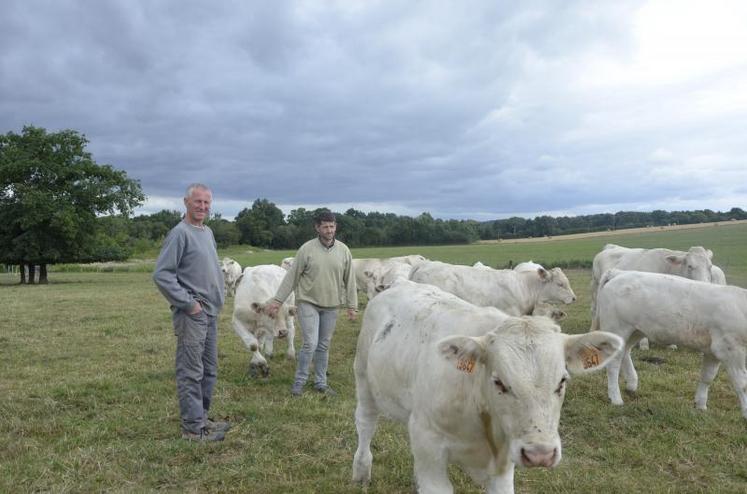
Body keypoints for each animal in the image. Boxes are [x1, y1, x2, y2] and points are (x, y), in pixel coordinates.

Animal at [354, 280, 624, 492]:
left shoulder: (504, 462)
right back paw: (361, 472)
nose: (540, 454)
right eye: (499, 382)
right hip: (364, 380)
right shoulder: (428, 444)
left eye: (562, 381)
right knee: (366, 424)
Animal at [596, 268, 747, 418]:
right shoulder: (731, 349)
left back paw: (631, 384)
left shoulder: (713, 351)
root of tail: (618, 273)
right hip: (617, 328)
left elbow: (707, 377)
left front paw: (701, 405)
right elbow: (742, 383)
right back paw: (616, 399)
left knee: (625, 352)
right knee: (613, 364)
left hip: (635, 331)